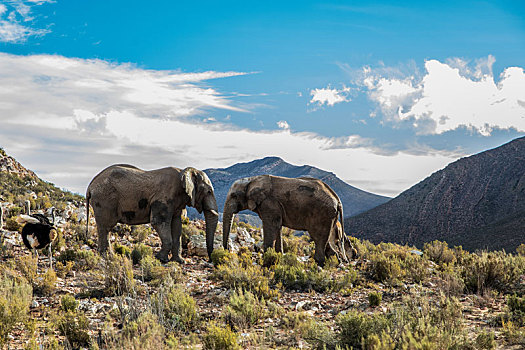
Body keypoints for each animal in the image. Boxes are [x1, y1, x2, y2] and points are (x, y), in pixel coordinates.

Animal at [86, 165, 217, 262]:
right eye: (209, 191)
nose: (210, 260)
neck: (182, 172)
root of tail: (90, 186)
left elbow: (176, 226)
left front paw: (179, 261)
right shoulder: (163, 199)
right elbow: (158, 222)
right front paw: (160, 259)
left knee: (104, 228)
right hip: (104, 200)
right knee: (106, 227)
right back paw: (108, 257)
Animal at [221, 175, 356, 266]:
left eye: (234, 195)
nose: (227, 250)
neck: (251, 180)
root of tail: (337, 200)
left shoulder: (269, 204)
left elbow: (271, 226)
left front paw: (267, 261)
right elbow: (278, 227)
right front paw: (278, 256)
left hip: (323, 214)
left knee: (319, 238)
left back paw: (319, 263)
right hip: (330, 217)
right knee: (326, 240)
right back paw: (333, 263)